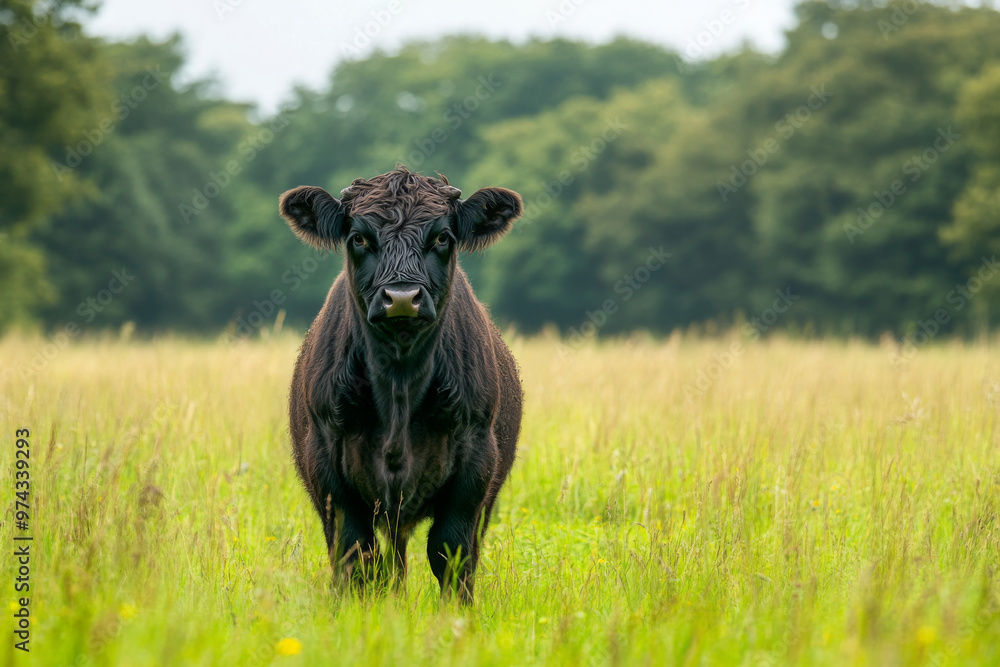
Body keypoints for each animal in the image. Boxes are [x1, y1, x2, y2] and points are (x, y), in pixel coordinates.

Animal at [276, 166, 524, 600]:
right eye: (359, 237)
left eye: (442, 237)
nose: (403, 297)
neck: (399, 384)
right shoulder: (326, 463)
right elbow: (355, 553)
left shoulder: (476, 463)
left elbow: (451, 551)